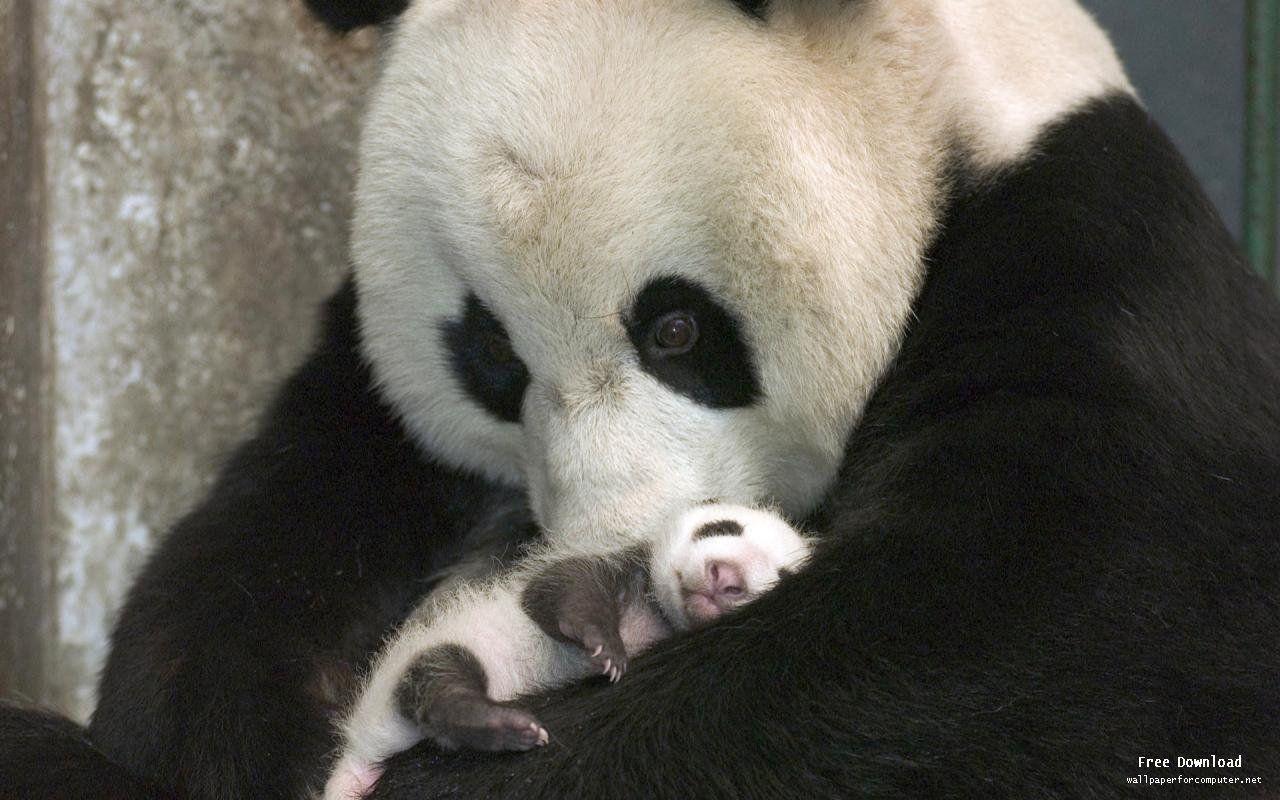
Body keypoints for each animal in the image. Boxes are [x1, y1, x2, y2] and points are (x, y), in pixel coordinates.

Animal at [3, 0, 1278, 798]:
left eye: (675, 328)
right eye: (490, 358)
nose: (612, 542)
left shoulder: (1098, 292)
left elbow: (1003, 646)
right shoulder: (368, 400)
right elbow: (248, 564)